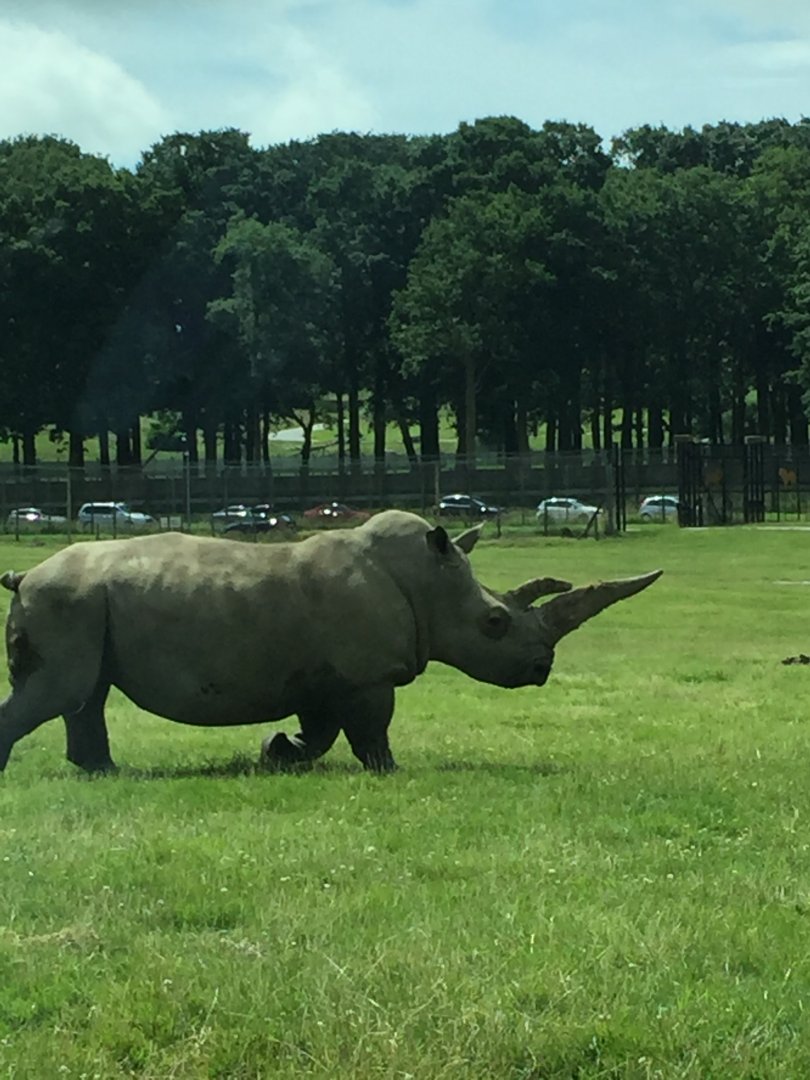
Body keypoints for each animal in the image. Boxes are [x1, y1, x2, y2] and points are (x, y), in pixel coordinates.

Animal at [0, 510, 660, 774]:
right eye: (495, 624)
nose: (542, 667)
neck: (429, 582)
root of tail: (24, 574)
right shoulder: (366, 673)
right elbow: (370, 728)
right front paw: (390, 771)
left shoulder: (322, 674)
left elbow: (318, 731)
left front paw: (275, 752)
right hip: (67, 600)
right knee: (60, 690)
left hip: (84, 605)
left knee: (83, 693)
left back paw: (103, 772)